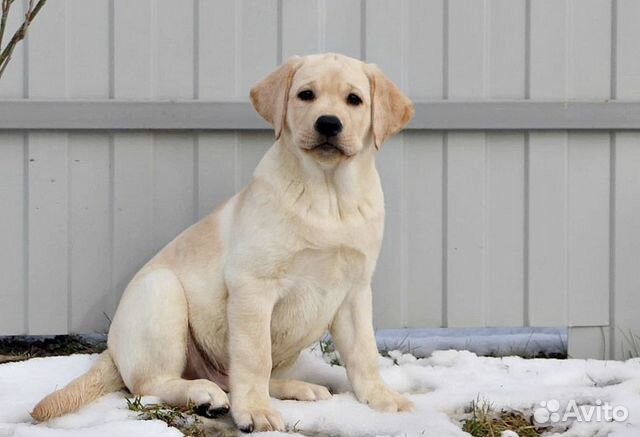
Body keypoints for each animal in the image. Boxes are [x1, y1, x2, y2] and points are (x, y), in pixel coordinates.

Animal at [31, 52, 416, 430]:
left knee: (234, 377)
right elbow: (255, 356)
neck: (329, 193)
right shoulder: (253, 286)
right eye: (306, 95)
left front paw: (381, 398)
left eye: (355, 100)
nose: (328, 124)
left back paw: (297, 387)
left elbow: (364, 353)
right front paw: (255, 413)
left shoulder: (355, 290)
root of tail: (110, 350)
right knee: (151, 383)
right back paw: (205, 394)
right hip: (162, 293)